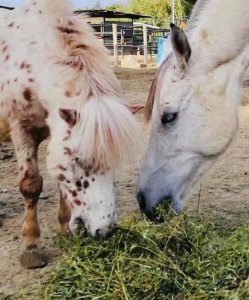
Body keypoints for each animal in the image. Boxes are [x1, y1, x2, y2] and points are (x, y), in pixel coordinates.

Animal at [0, 0, 145, 268]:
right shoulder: (22, 131)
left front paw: (65, 231)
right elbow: (31, 185)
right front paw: (31, 245)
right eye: (78, 159)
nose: (103, 231)